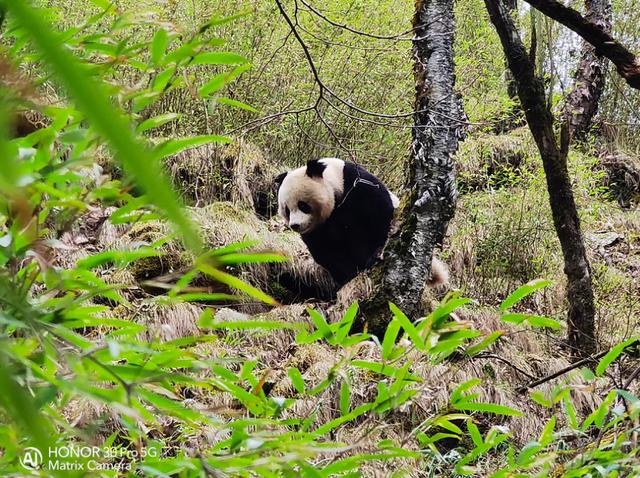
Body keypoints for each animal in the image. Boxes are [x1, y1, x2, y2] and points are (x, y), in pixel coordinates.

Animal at [276, 157, 400, 286]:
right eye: (287, 210)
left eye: (302, 205)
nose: (295, 225)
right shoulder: (318, 229)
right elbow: (327, 250)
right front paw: (349, 274)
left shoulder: (357, 185)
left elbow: (377, 216)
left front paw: (372, 256)